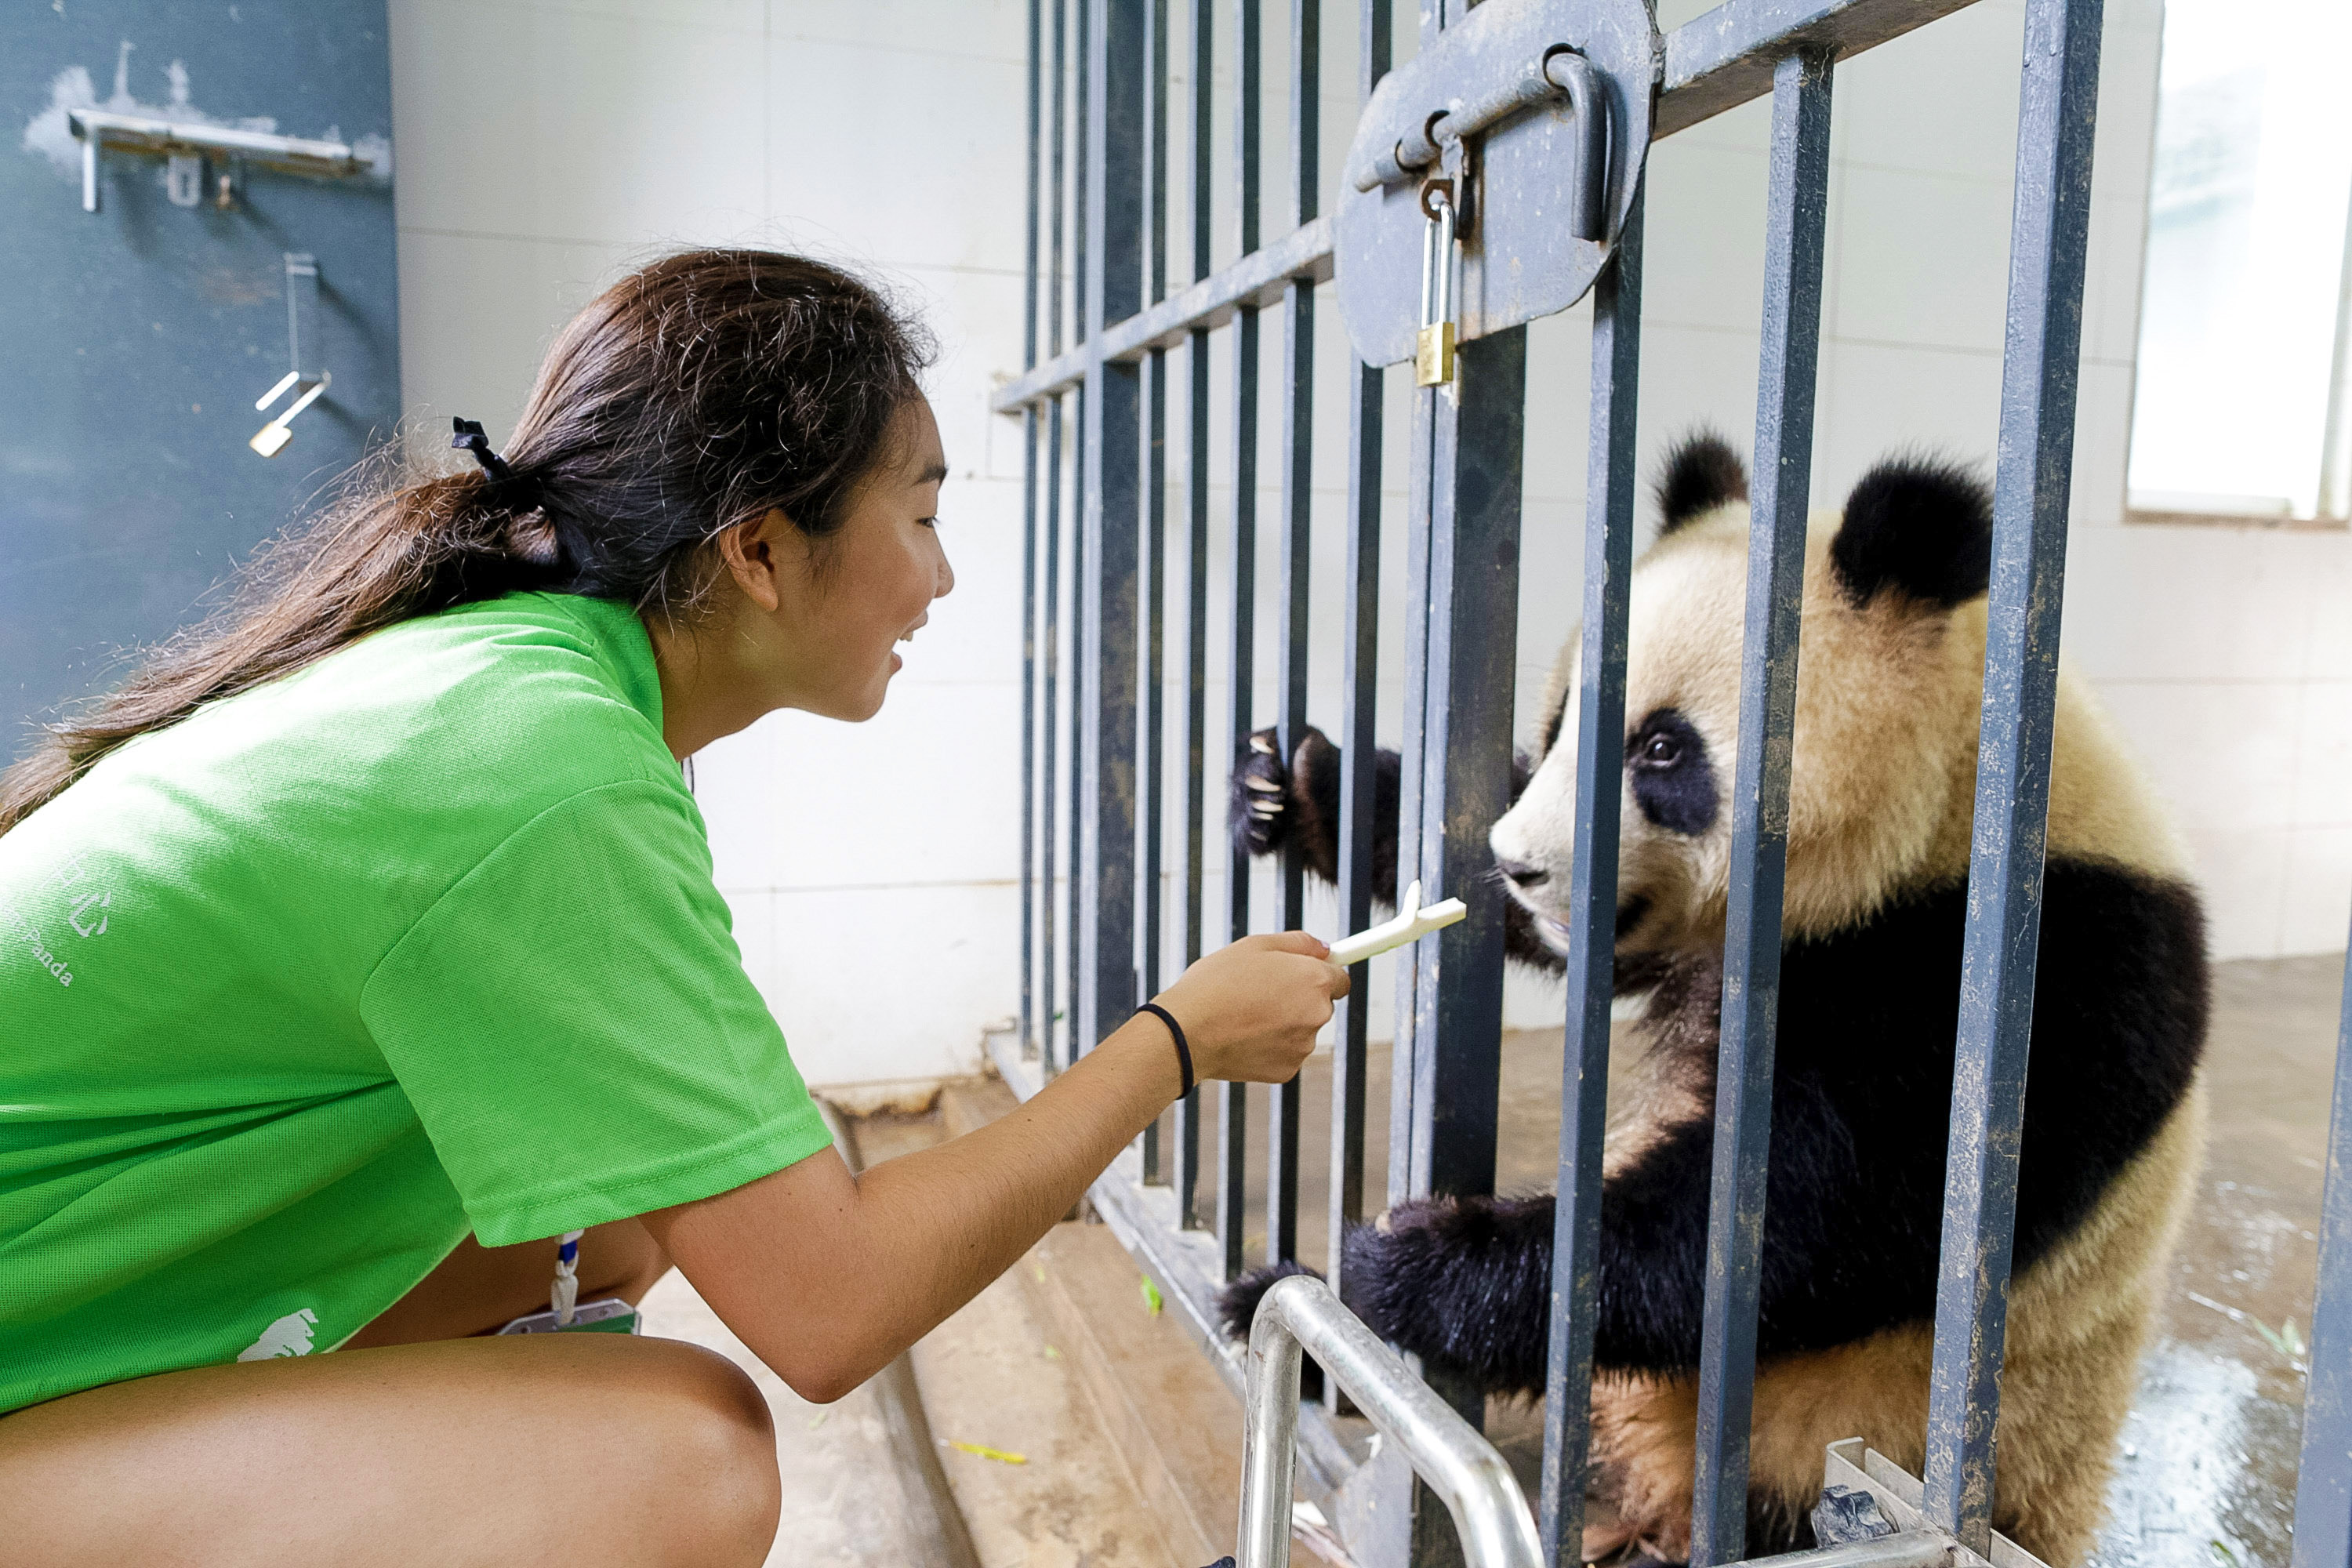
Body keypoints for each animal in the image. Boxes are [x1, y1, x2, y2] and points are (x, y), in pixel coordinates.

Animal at [1219, 434, 2208, 1567]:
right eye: (1563, 722)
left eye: (1663, 748)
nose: (1519, 865)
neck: (1962, 796)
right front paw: (1291, 784)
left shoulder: (2048, 981)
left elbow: (1789, 1220)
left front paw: (1411, 1257)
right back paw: (1272, 1309)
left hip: (1839, 1439)